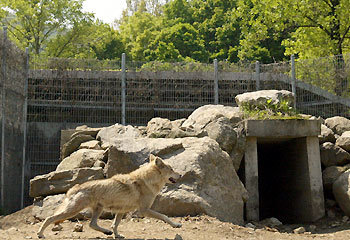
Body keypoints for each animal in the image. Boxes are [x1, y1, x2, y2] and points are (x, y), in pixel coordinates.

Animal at [37, 155, 182, 239]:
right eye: (171, 169)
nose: (180, 175)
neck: (148, 181)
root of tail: (74, 188)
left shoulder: (121, 211)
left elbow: (115, 225)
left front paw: (117, 235)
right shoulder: (144, 210)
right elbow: (165, 216)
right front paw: (176, 224)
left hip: (98, 210)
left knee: (92, 224)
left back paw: (106, 232)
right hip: (72, 211)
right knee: (50, 218)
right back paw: (40, 234)